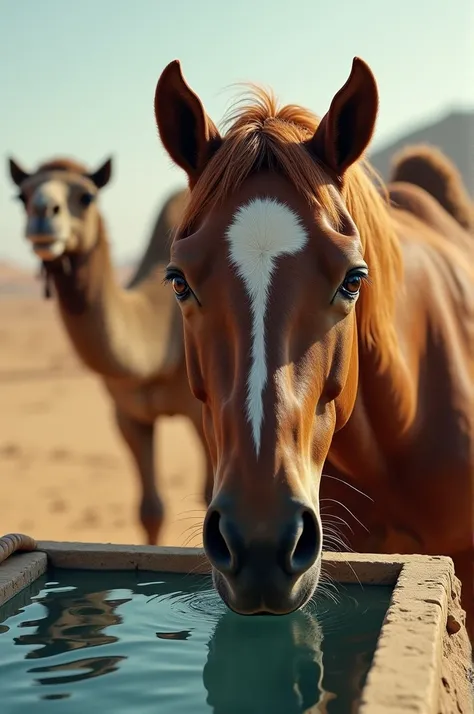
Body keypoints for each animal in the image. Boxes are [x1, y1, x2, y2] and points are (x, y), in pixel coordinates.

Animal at [6, 156, 211, 544]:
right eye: (21, 196)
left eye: (86, 196)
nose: (43, 214)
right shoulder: (127, 414)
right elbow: (150, 510)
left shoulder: (203, 413)